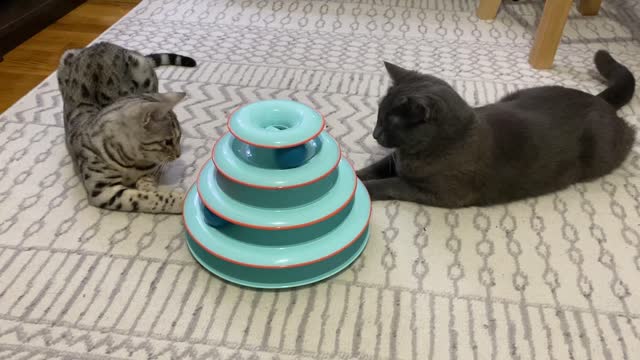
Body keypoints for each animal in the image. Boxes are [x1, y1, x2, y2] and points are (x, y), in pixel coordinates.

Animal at [57, 41, 198, 214]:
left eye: (179, 138)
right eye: (168, 142)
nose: (179, 155)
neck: (132, 162)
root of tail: (98, 45)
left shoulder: (150, 169)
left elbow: (147, 184)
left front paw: (149, 187)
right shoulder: (103, 191)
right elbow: (148, 198)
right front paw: (181, 200)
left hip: (144, 71)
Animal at [358, 50, 636, 208]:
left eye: (391, 121)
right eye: (379, 114)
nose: (375, 133)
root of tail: (599, 100)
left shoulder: (439, 193)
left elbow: (391, 184)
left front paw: (364, 190)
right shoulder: (393, 159)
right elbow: (375, 168)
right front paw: (355, 174)